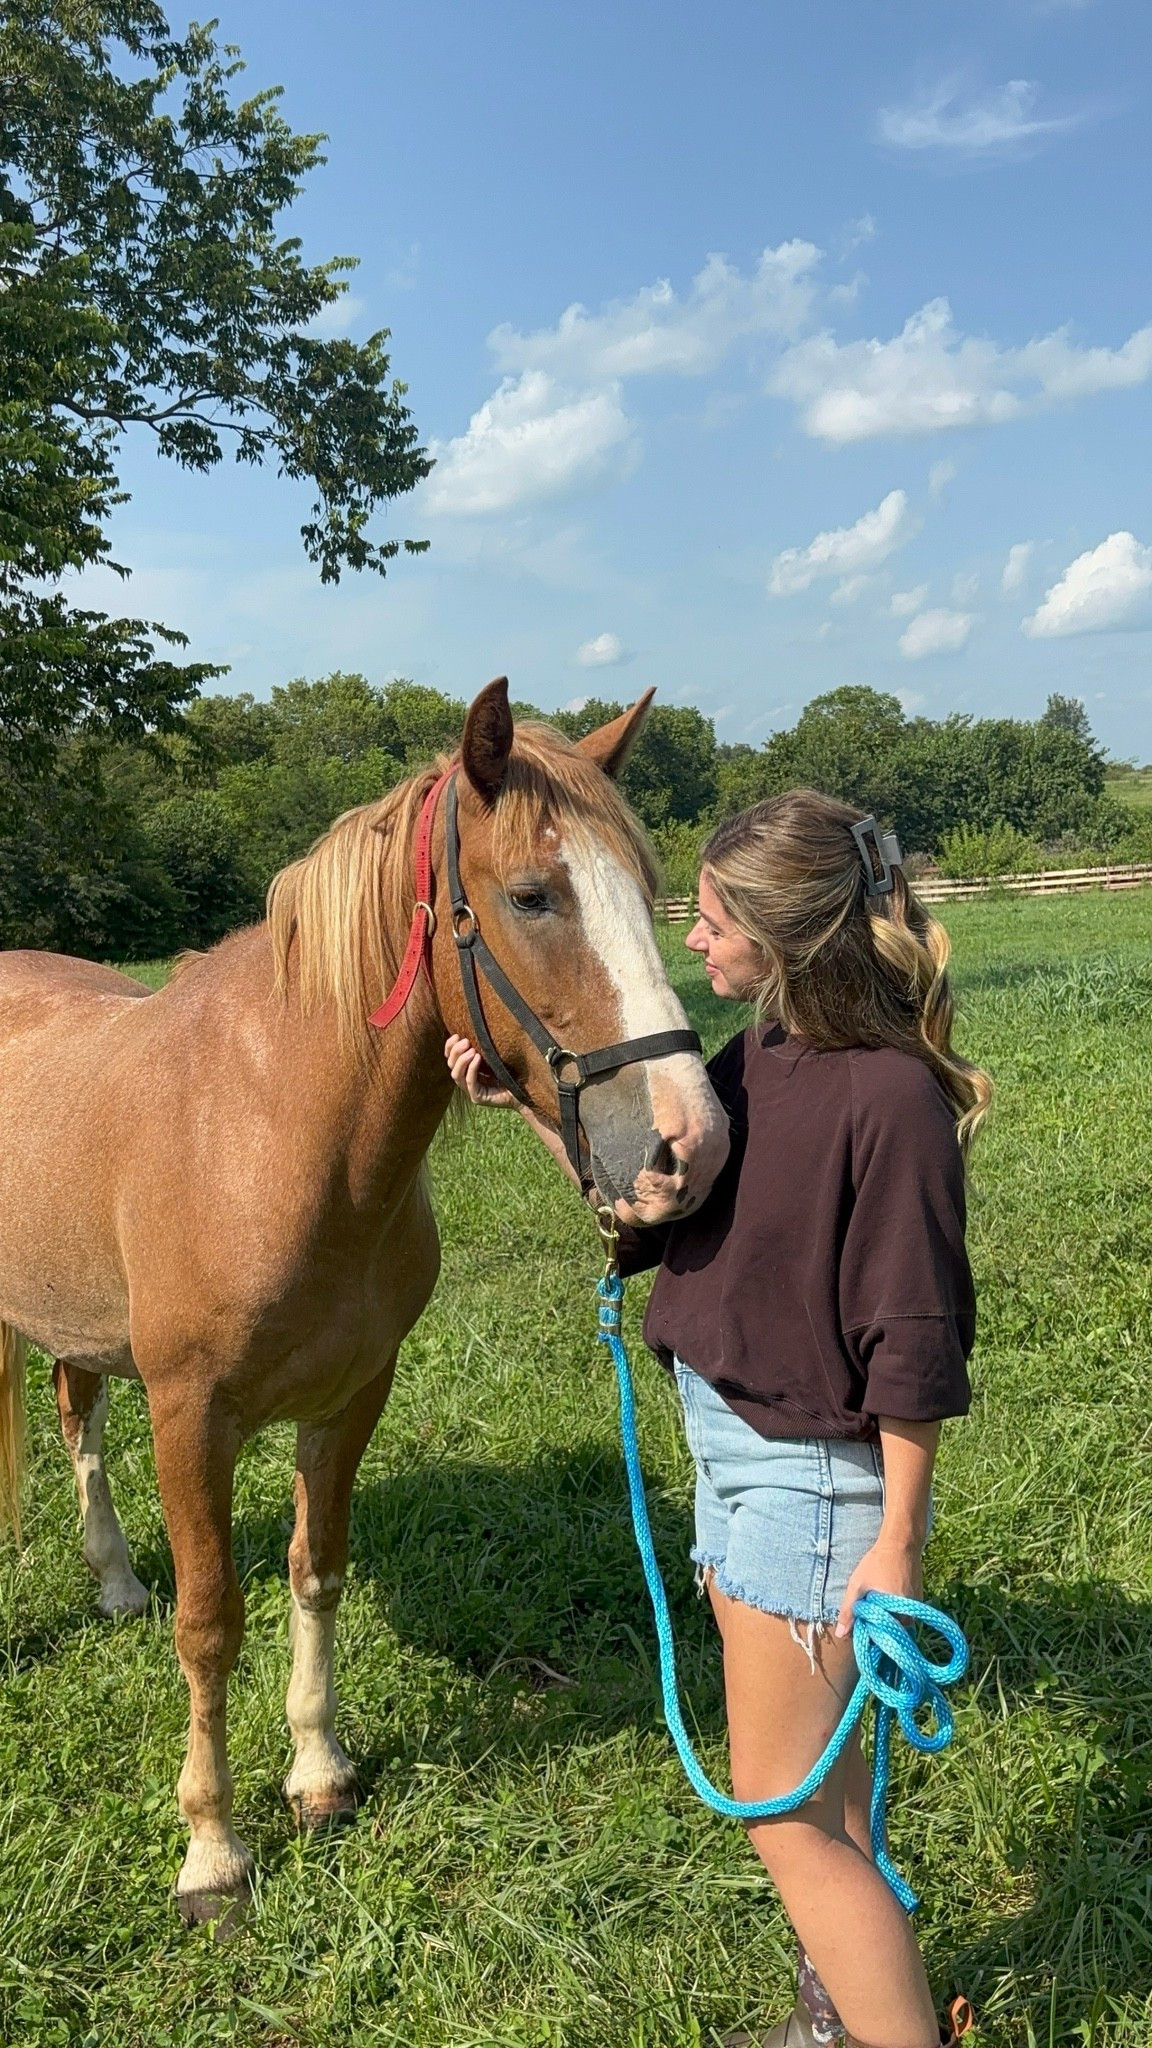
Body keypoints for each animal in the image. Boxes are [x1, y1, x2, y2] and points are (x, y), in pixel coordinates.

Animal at [0, 678, 729, 1923]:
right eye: (532, 895)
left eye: (647, 889)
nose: (692, 1141)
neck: (271, 1126)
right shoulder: (190, 1414)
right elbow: (210, 1623)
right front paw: (212, 1848)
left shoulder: (349, 1399)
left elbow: (316, 1569)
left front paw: (319, 1771)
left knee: (76, 1419)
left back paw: (115, 1582)